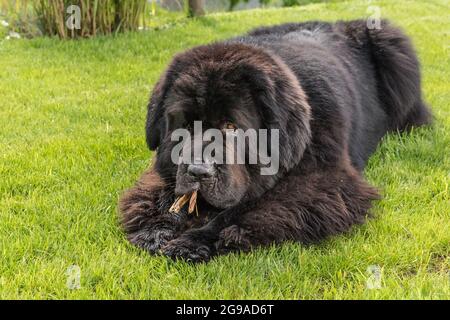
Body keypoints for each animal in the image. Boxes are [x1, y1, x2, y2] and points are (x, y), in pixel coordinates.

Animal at [119, 18, 432, 262]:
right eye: (184, 126)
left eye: (231, 126)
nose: (198, 171)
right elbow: (159, 194)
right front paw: (157, 228)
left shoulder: (321, 183)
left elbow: (244, 210)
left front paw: (193, 241)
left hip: (393, 46)